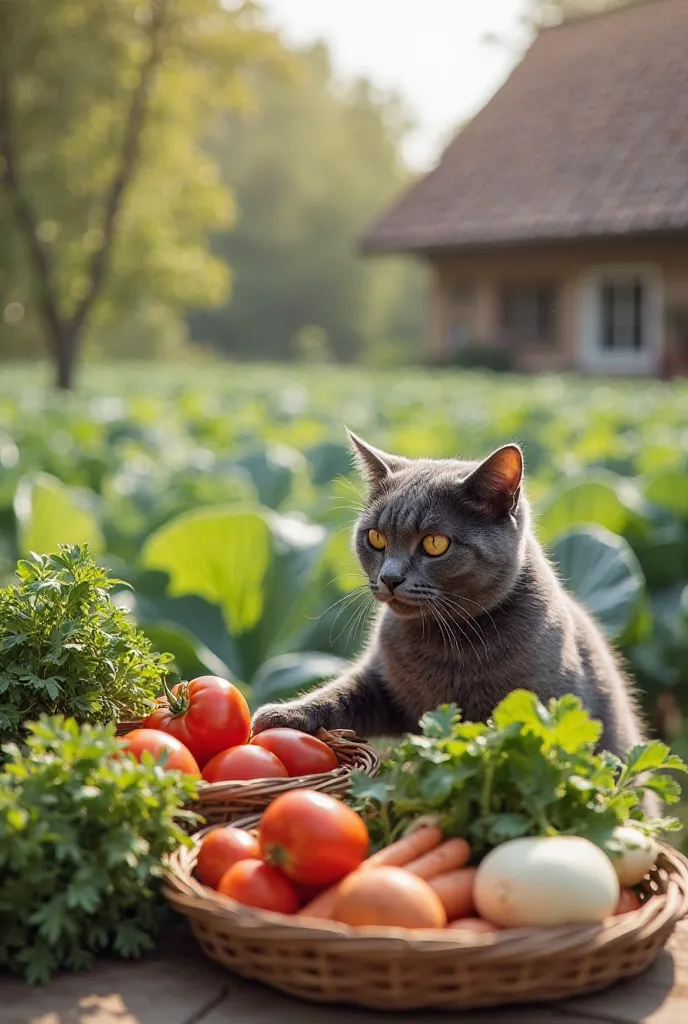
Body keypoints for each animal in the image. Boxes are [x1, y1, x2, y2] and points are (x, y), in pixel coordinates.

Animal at [250, 428, 647, 757]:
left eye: (435, 544)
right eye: (375, 537)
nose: (389, 577)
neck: (446, 642)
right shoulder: (383, 685)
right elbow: (340, 692)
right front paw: (279, 715)